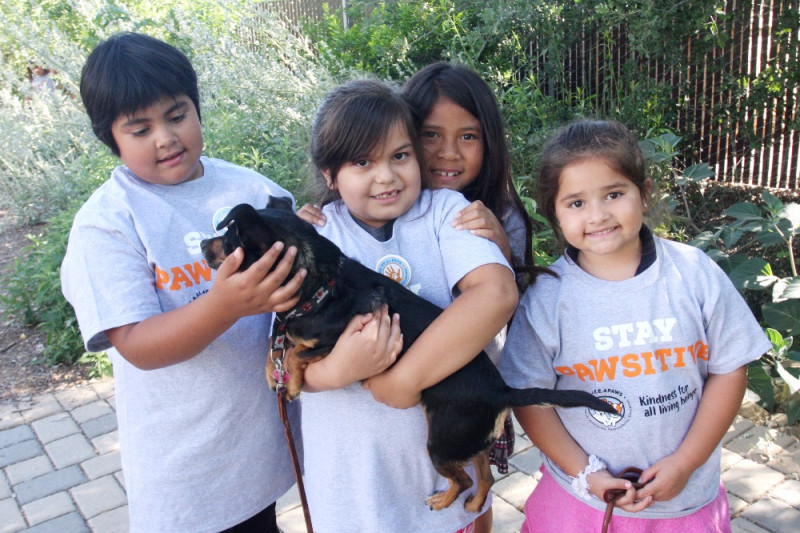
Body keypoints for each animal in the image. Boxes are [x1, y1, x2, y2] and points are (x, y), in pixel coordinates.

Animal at [200, 200, 618, 513]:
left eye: (228, 236)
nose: (204, 245)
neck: (318, 287)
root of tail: (503, 392)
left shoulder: (336, 343)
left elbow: (298, 353)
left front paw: (292, 382)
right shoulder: (292, 328)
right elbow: (280, 343)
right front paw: (272, 372)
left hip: (441, 443)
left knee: (464, 478)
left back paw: (444, 500)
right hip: (464, 440)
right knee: (482, 473)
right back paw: (472, 503)